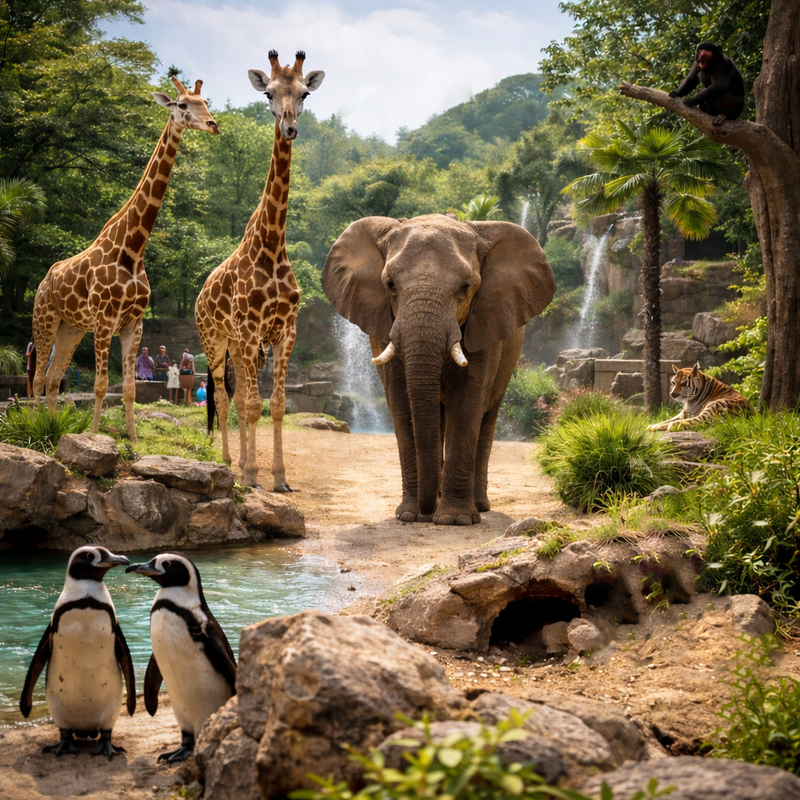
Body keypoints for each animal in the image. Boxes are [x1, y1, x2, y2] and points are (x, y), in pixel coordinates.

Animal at [31, 77, 220, 441]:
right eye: (183, 105)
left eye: (205, 103)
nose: (213, 125)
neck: (132, 249)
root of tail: (44, 280)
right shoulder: (105, 319)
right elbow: (102, 385)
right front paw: (93, 438)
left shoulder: (134, 323)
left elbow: (129, 389)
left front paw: (132, 442)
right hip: (44, 319)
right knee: (35, 380)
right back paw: (30, 429)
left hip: (70, 328)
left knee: (52, 378)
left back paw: (52, 429)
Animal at [195, 50, 325, 489]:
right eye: (268, 92)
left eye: (304, 93)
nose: (289, 127)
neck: (271, 246)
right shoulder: (251, 330)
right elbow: (253, 405)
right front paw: (253, 477)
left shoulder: (285, 331)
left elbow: (277, 404)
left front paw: (279, 478)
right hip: (215, 340)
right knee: (222, 397)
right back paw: (229, 463)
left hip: (237, 345)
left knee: (236, 398)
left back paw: (240, 462)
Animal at [322, 214, 556, 526]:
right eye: (390, 285)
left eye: (465, 289)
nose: (426, 510)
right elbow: (402, 403)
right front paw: (410, 516)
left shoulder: (485, 323)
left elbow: (467, 403)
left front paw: (453, 520)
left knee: (486, 418)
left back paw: (478, 506)